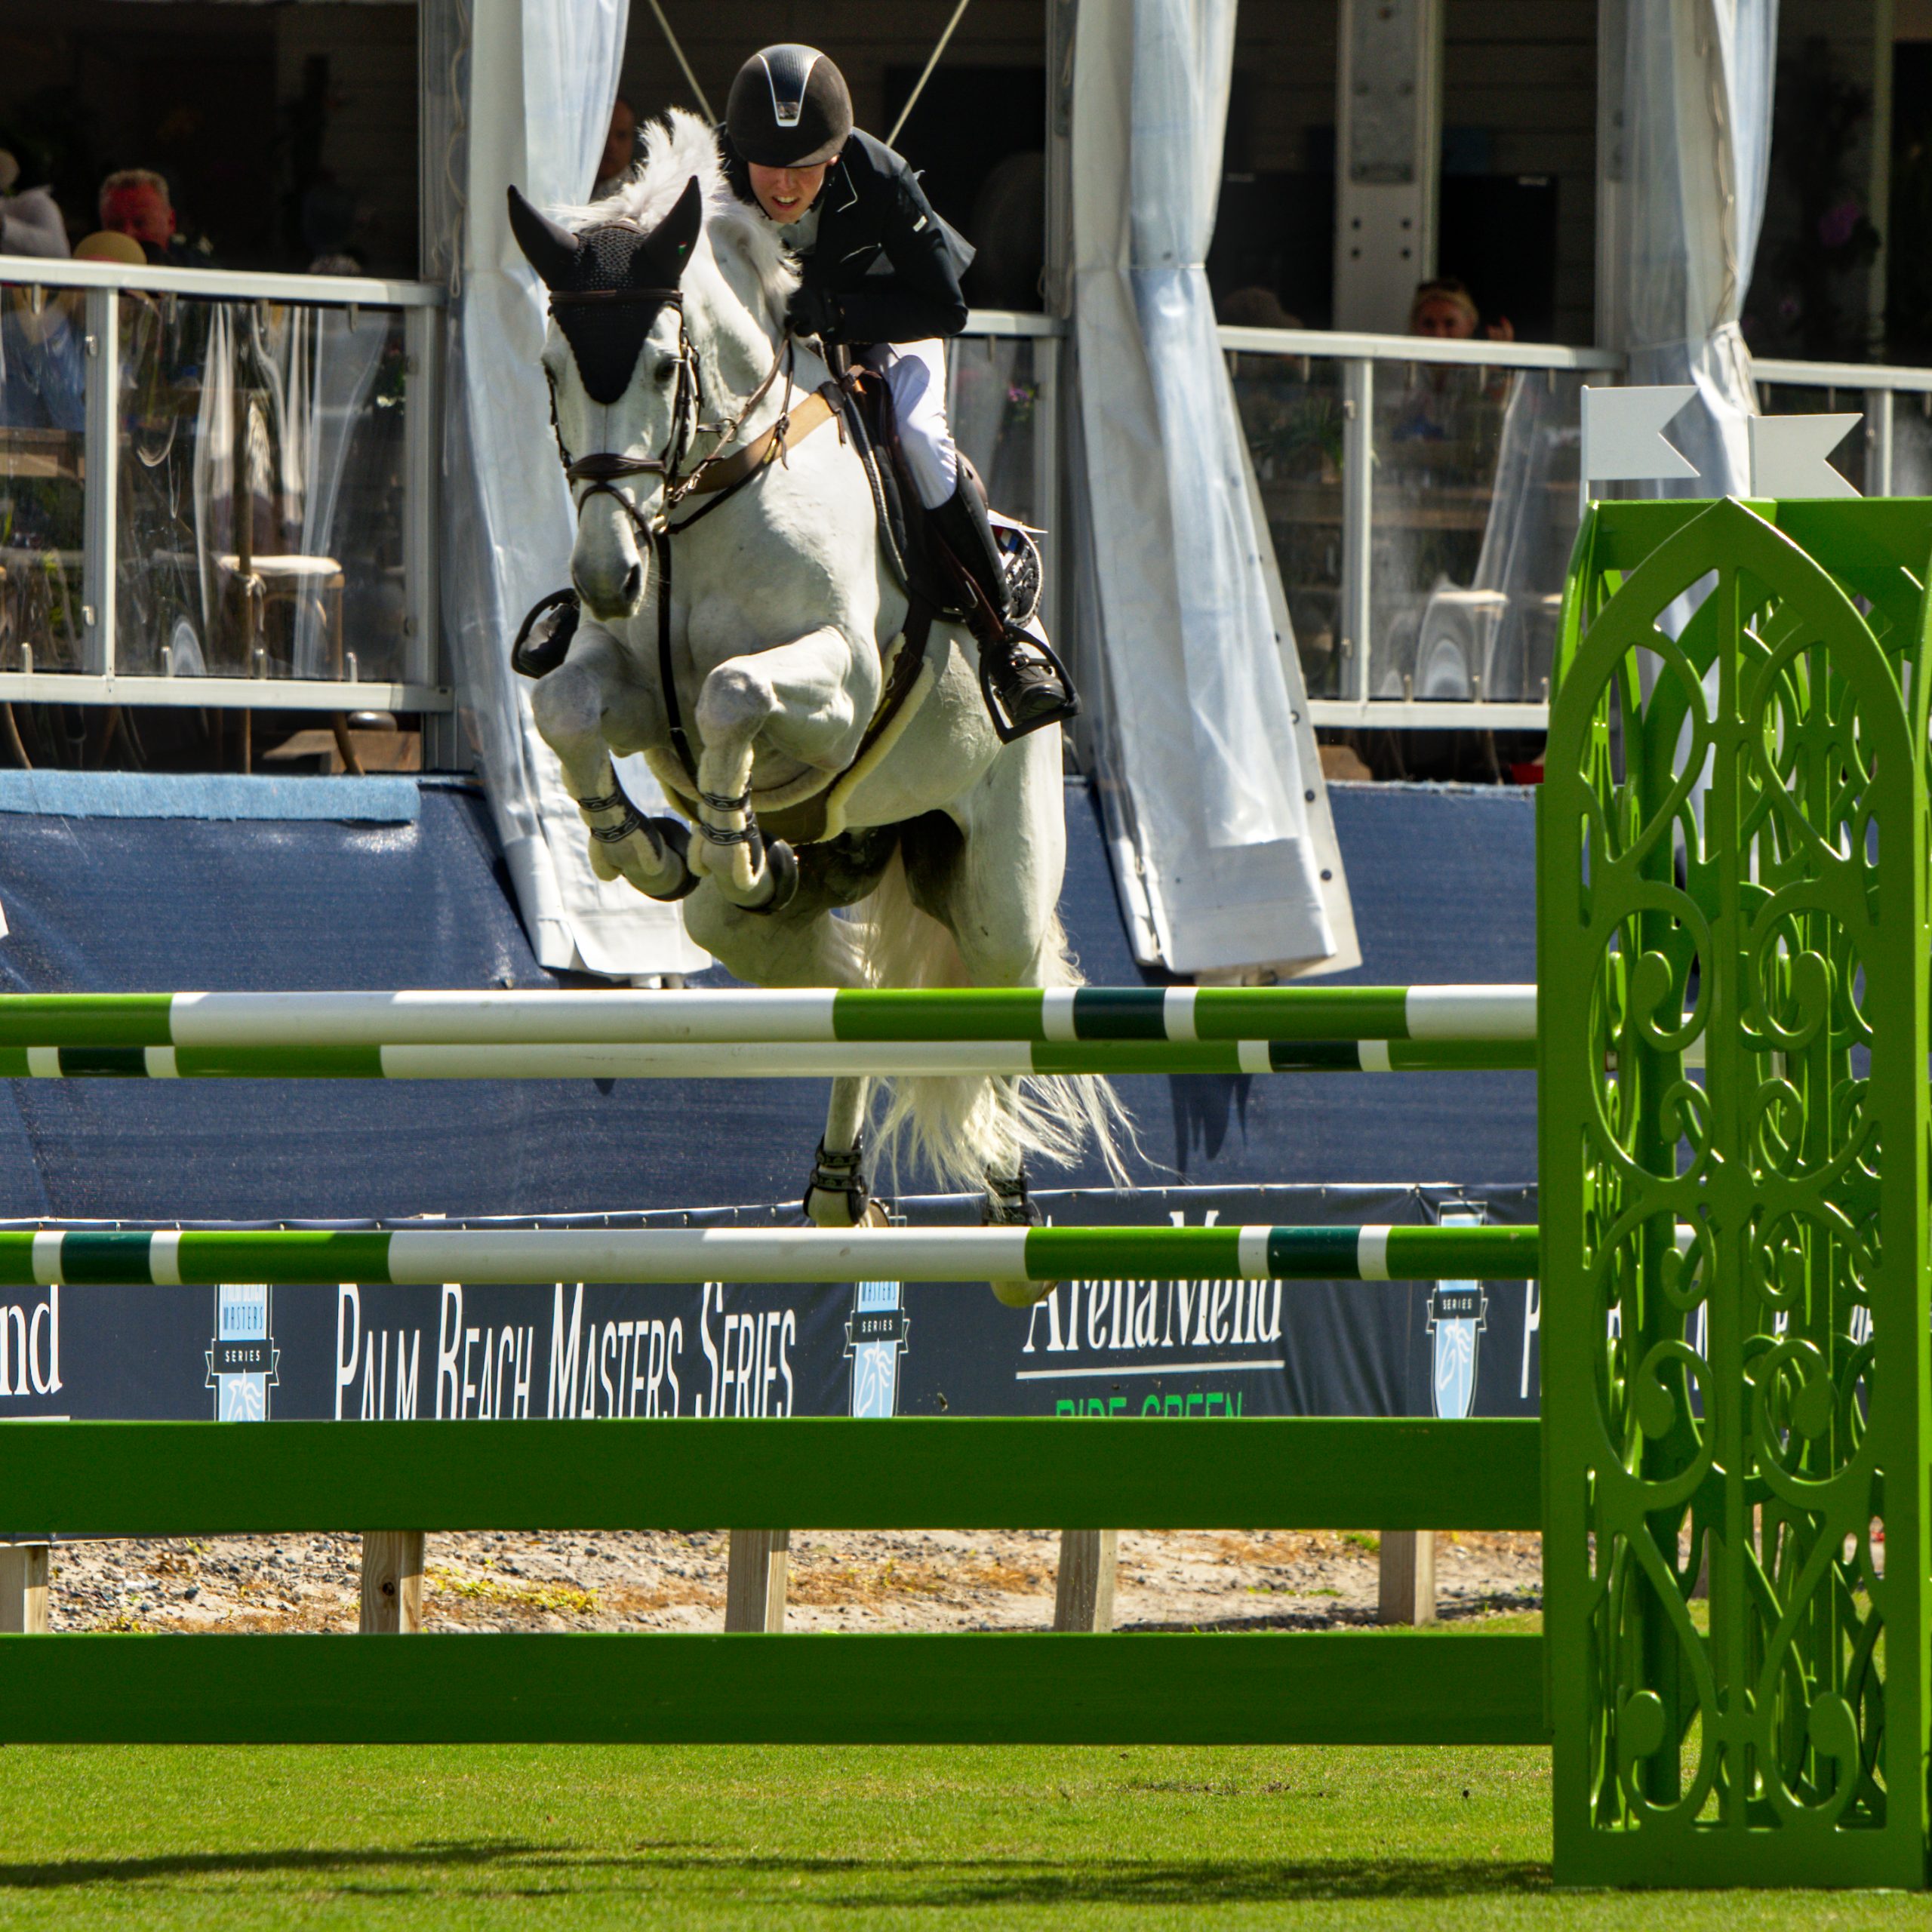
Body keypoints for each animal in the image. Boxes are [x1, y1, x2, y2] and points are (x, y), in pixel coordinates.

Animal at [513, 109, 1128, 1282]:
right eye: (551, 367)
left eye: (661, 366)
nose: (608, 575)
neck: (706, 490)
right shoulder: (634, 689)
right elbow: (568, 711)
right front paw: (646, 844)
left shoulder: (837, 684)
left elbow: (733, 695)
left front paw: (725, 833)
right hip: (781, 910)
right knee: (855, 994)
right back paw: (838, 1187)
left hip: (1001, 886)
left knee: (997, 1004)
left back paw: (1008, 1208)